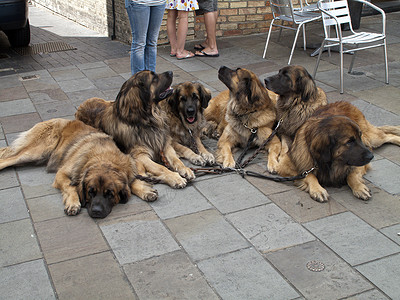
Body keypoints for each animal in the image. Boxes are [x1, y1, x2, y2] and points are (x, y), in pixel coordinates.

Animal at [0, 119, 157, 218]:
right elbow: (70, 186)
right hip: (35, 151)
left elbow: (132, 182)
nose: (96, 211)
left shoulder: (129, 168)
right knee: (5, 160)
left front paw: (145, 190)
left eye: (110, 194)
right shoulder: (62, 174)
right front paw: (73, 203)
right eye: (90, 192)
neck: (103, 158)